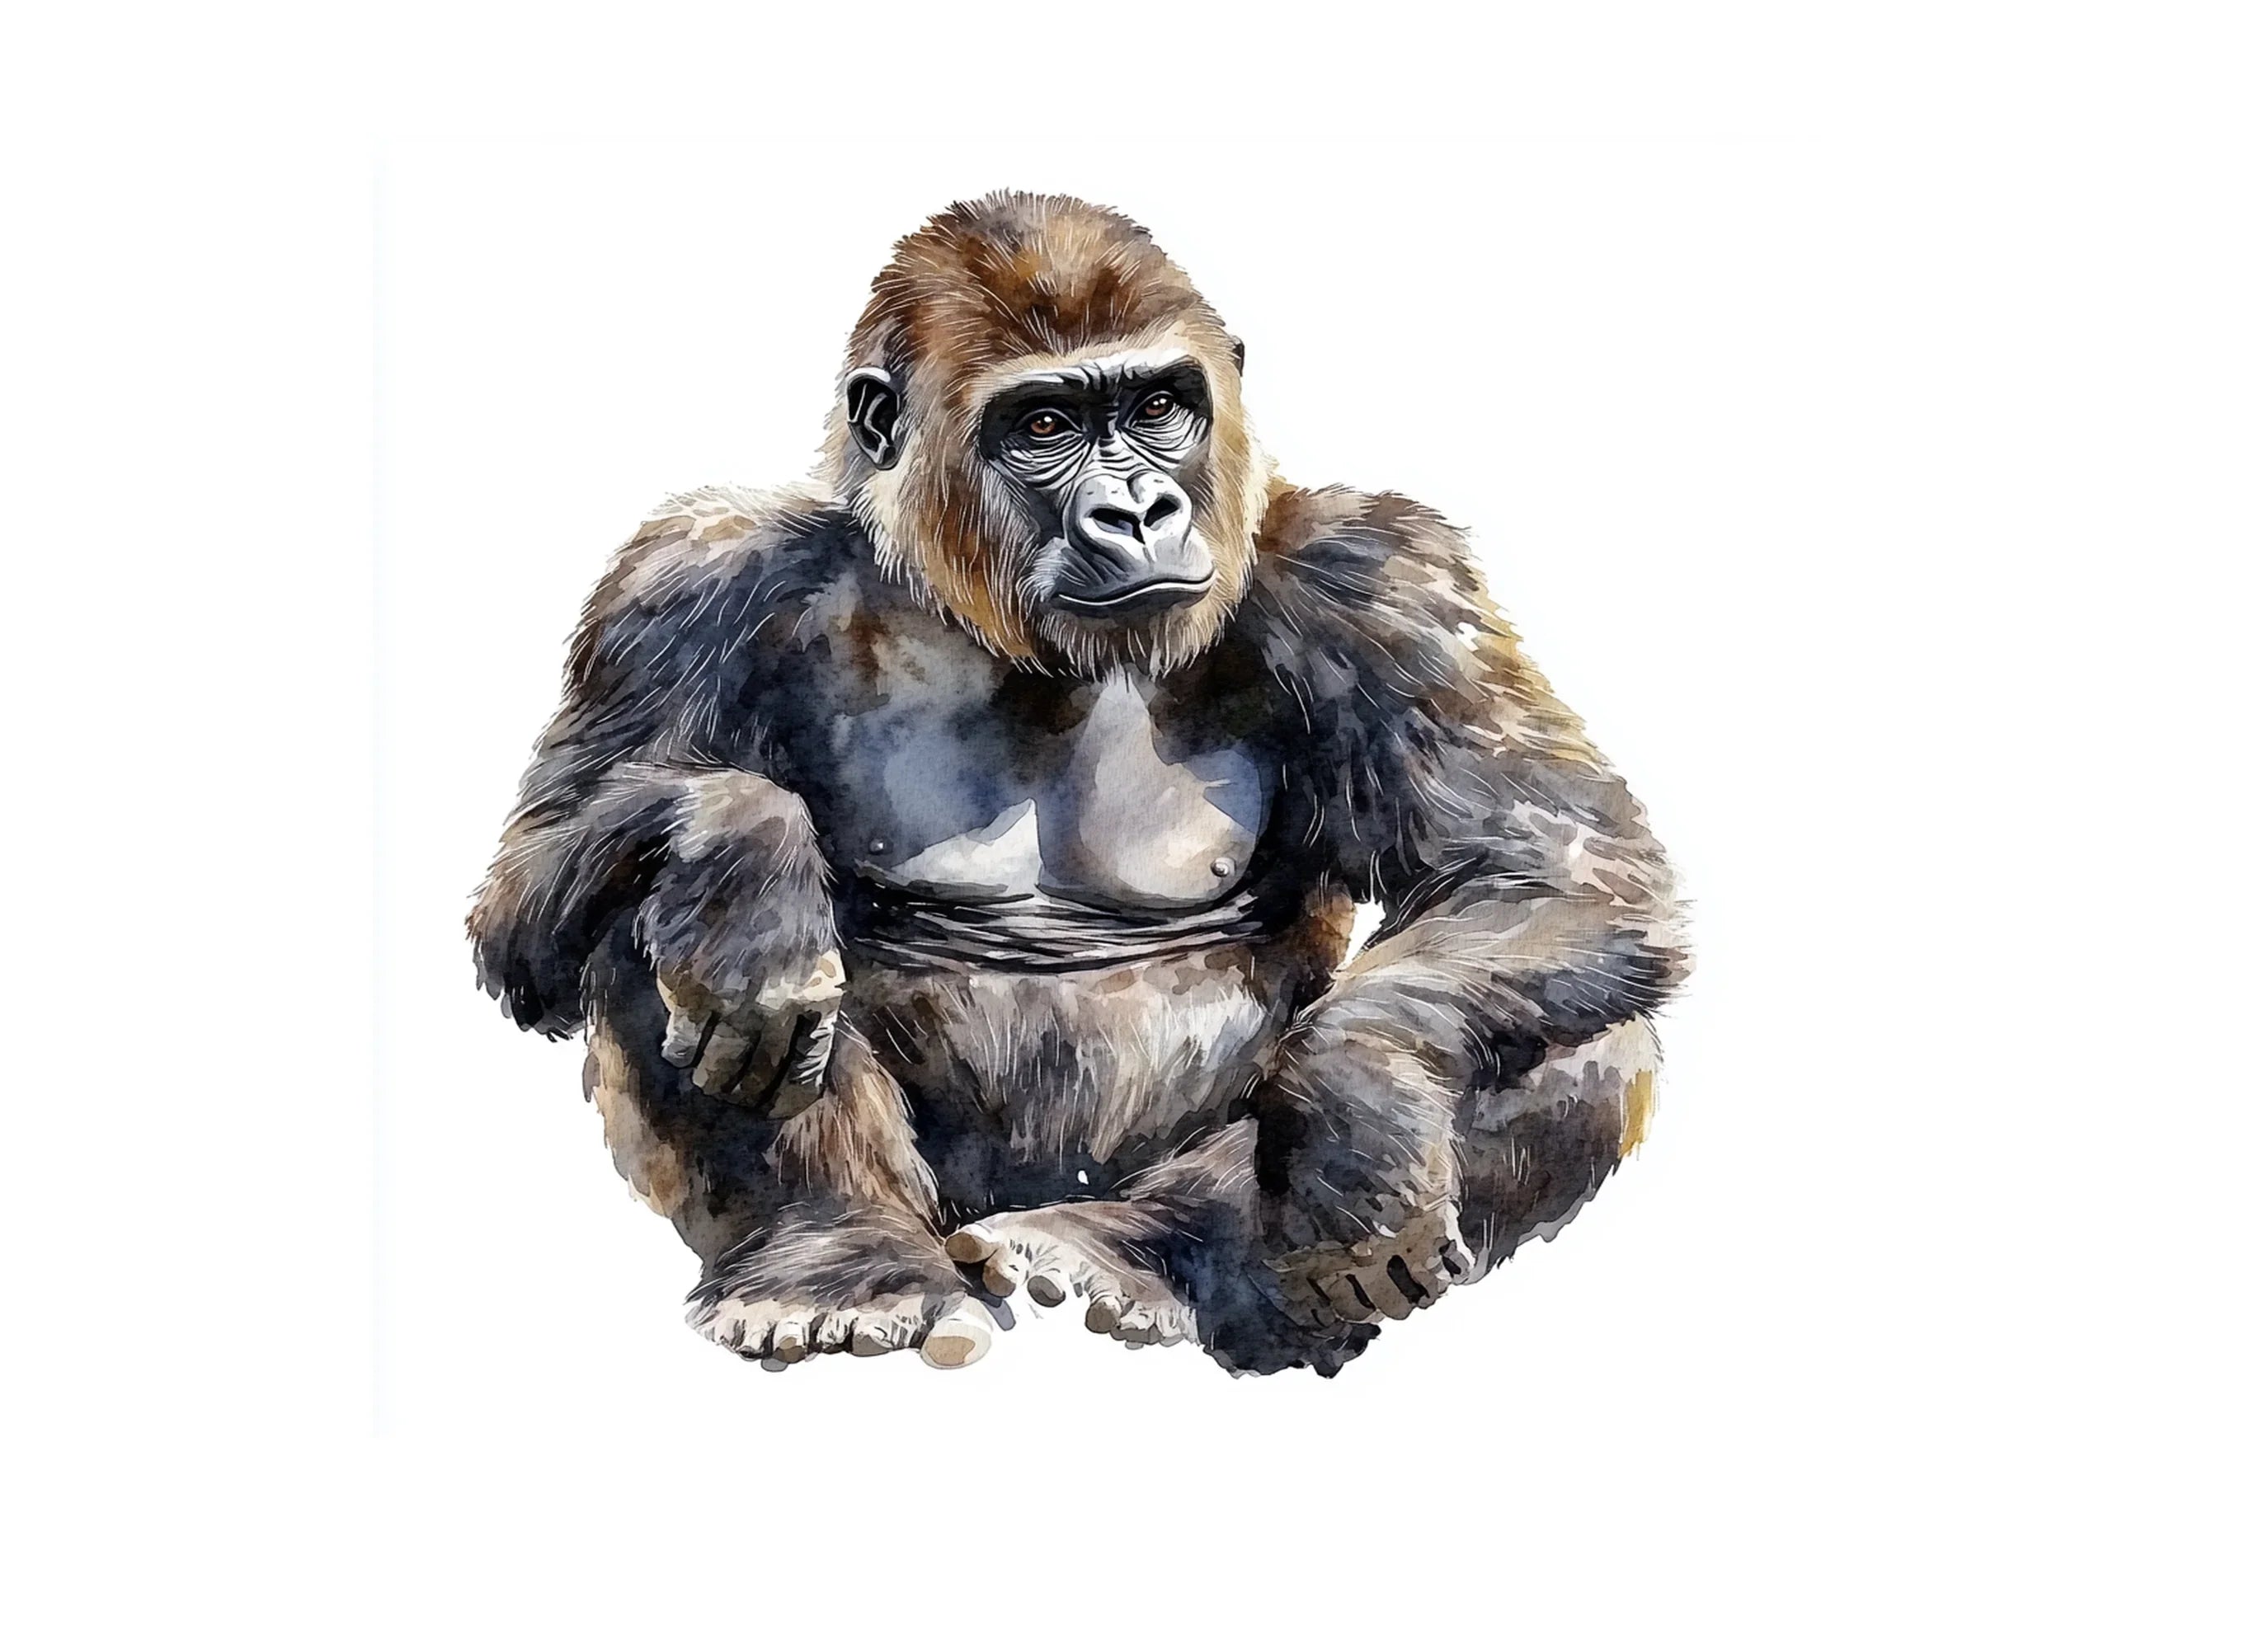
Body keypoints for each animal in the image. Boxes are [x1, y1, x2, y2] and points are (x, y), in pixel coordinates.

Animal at [469, 192, 1688, 1375]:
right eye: (1044, 426)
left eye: (1157, 408)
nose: (1139, 512)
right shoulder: (684, 577)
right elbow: (528, 898)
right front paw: (741, 849)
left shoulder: (1381, 575)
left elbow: (1543, 867)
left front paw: (1357, 1101)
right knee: (644, 914)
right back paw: (837, 1260)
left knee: (1582, 1036)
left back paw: (1135, 1247)